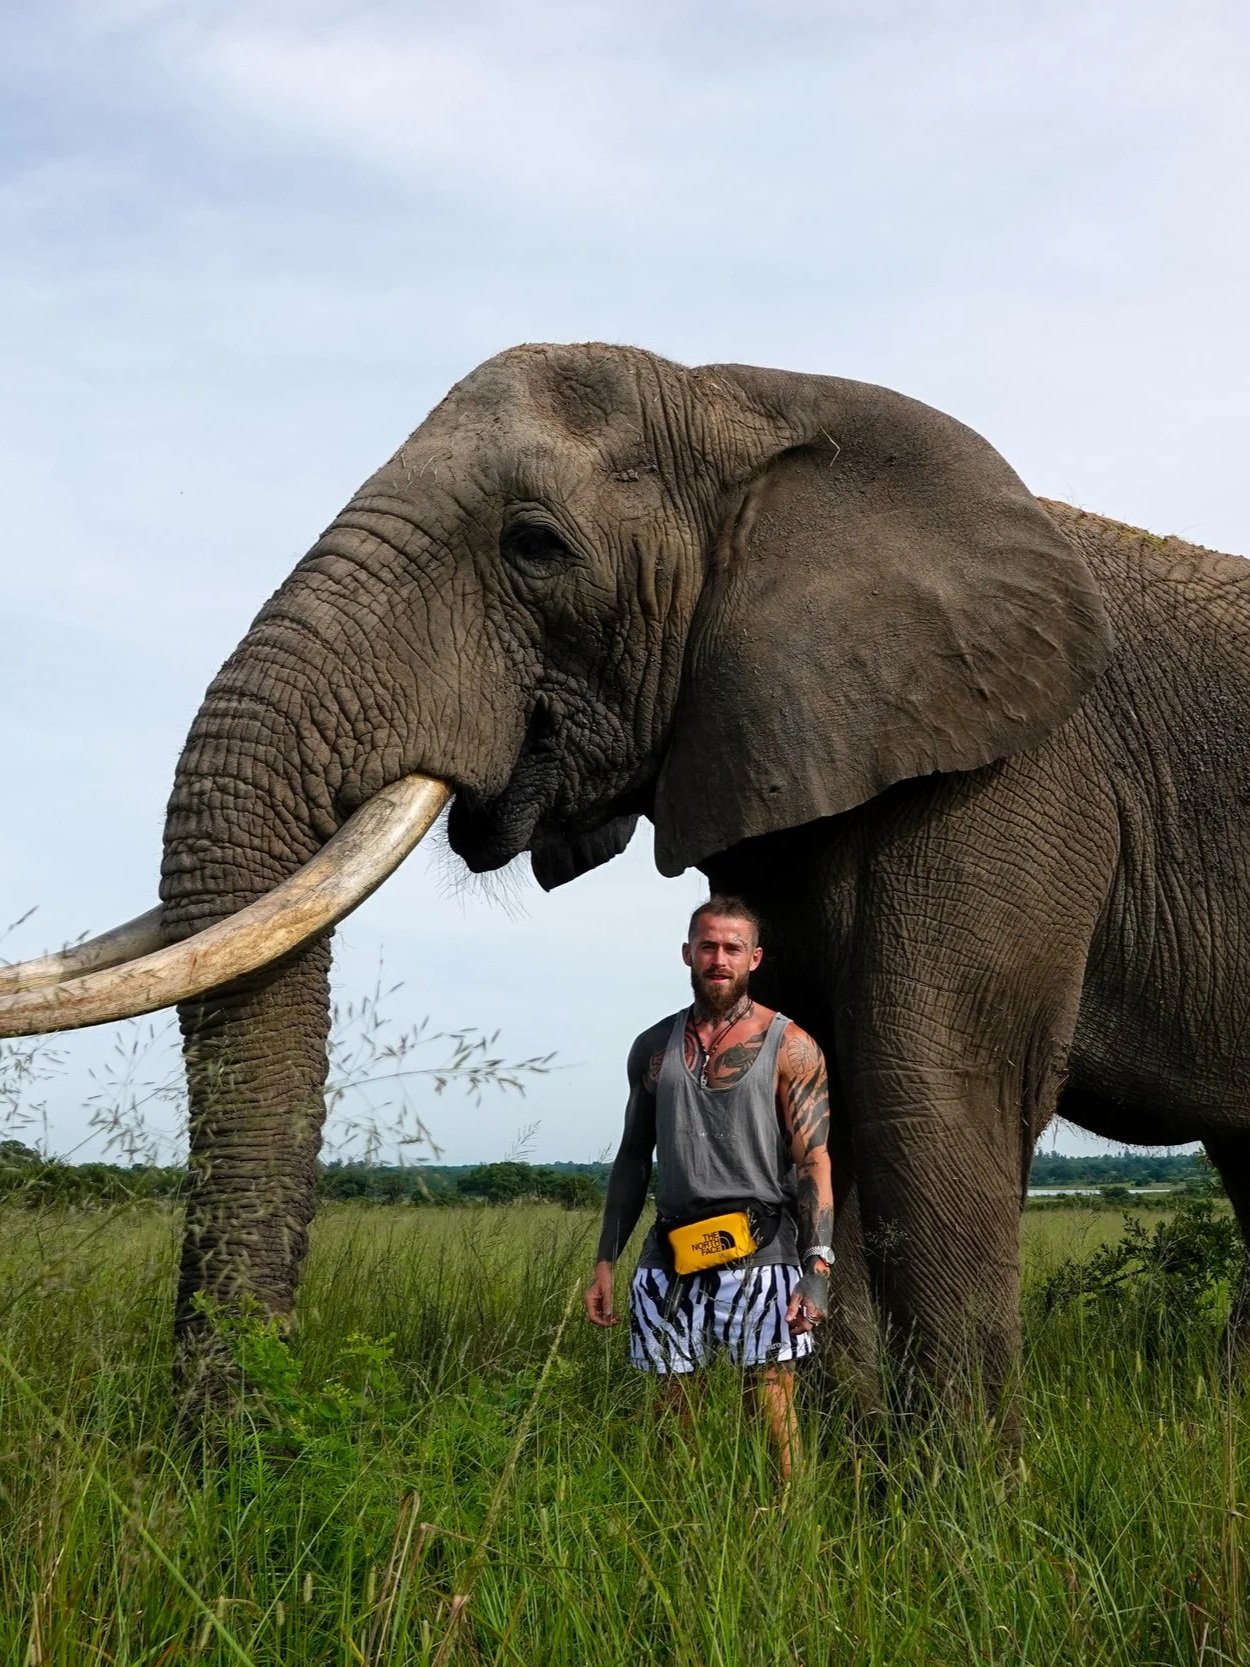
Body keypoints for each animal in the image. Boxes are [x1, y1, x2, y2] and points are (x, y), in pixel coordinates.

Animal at [3, 341, 1249, 1416]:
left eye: (533, 545)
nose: (223, 1454)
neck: (754, 409)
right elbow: (826, 1092)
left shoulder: (1013, 770)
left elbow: (931, 1088)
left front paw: (953, 1515)